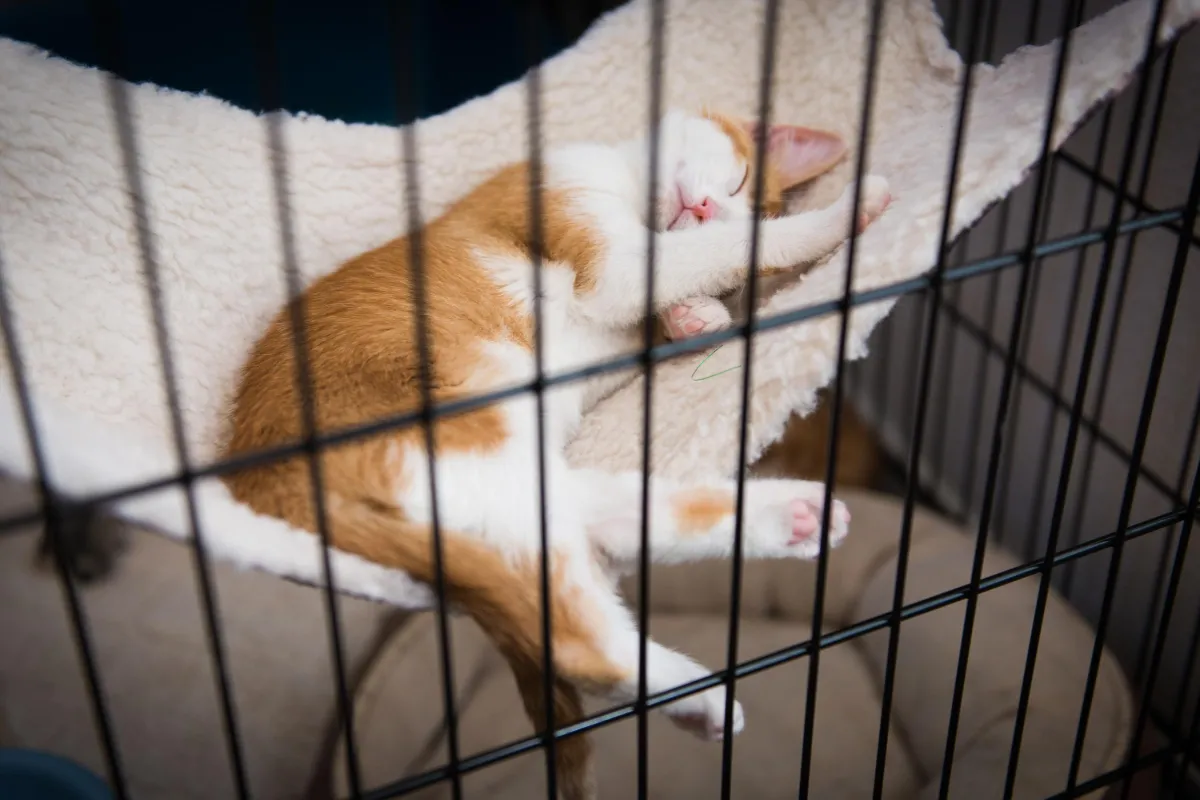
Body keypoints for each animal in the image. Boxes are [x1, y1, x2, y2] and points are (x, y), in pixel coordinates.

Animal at [223, 107, 892, 800]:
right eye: (738, 182)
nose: (708, 207)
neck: (627, 183)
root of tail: (265, 480)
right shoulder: (582, 219)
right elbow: (708, 255)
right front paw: (842, 214)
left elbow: (687, 284)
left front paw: (695, 315)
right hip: (465, 443)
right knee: (573, 639)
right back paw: (704, 681)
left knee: (593, 529)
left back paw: (791, 523)